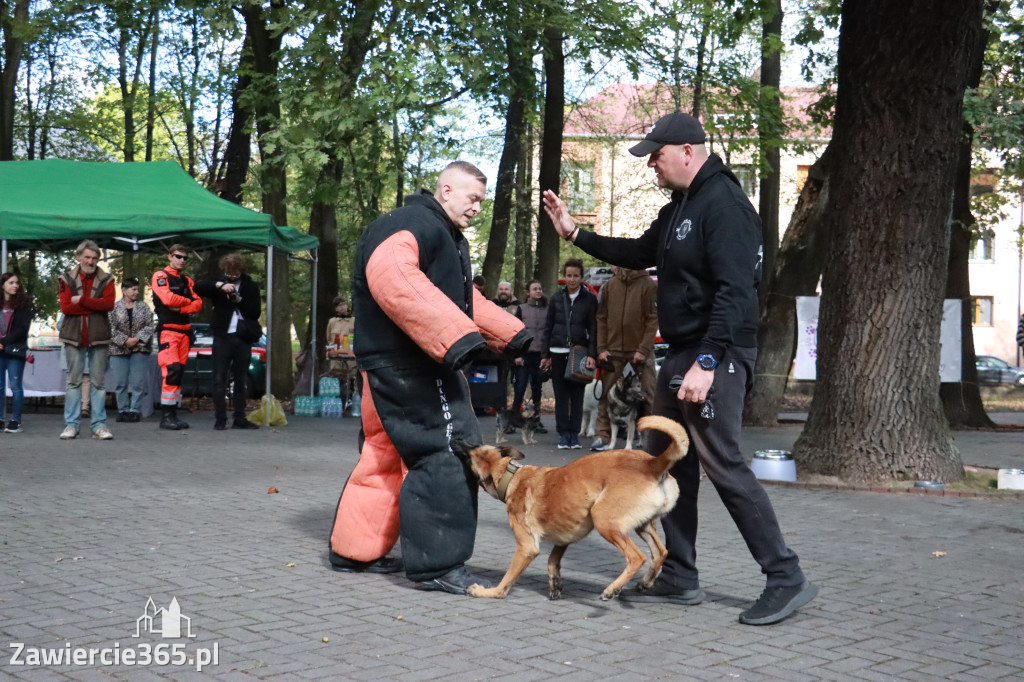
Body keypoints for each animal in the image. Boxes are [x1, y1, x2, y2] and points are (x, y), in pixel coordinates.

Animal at [454, 413, 688, 602]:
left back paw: (612, 589)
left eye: (469, 455)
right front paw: (555, 583)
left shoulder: (526, 547)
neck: (511, 476)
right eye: (474, 447)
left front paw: (488, 592)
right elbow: (552, 561)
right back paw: (646, 582)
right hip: (642, 525)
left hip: (604, 520)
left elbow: (507, 580)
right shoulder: (563, 538)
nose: (455, 440)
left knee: (637, 557)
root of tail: (651, 464)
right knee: (660, 551)